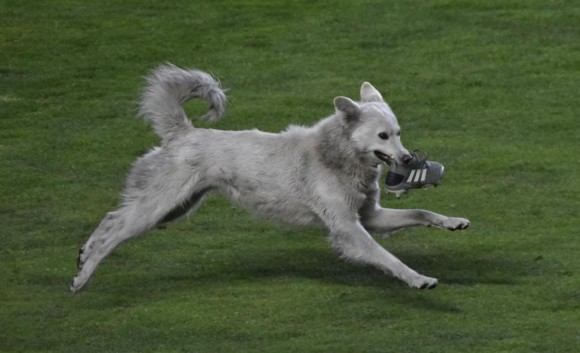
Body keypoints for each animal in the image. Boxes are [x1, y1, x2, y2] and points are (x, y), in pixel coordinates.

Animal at [70, 63, 468, 292]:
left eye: (399, 133)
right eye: (383, 136)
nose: (408, 158)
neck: (337, 155)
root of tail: (183, 133)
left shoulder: (370, 217)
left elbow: (421, 214)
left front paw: (453, 222)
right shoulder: (348, 228)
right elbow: (389, 259)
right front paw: (418, 279)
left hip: (174, 209)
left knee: (112, 219)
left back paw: (83, 255)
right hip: (158, 207)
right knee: (114, 229)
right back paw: (82, 276)